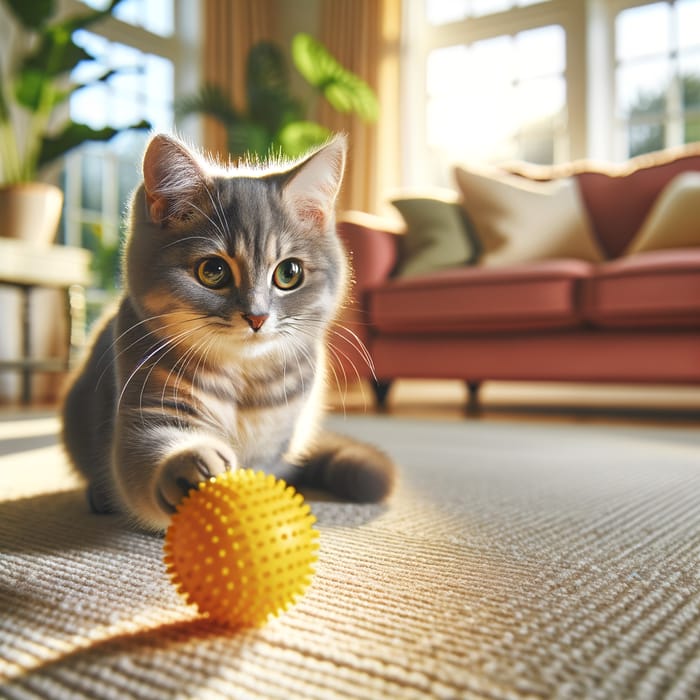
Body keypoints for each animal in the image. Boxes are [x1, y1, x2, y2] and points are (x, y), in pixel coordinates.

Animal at [61, 134, 394, 532]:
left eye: (289, 273)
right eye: (213, 271)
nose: (257, 316)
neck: (243, 382)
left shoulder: (277, 439)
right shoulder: (147, 408)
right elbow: (143, 459)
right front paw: (192, 468)